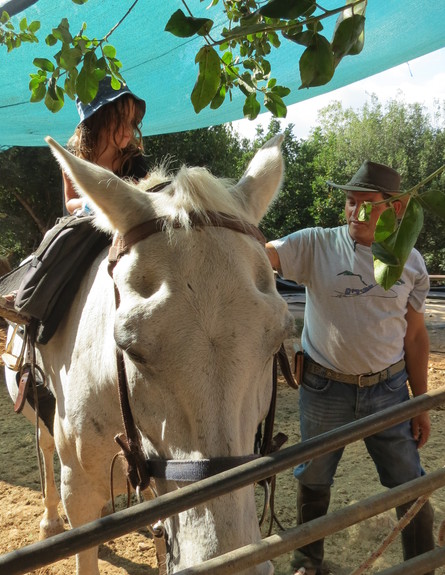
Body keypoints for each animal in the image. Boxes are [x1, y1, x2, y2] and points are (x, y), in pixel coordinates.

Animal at [22, 136, 294, 575]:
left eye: (276, 341)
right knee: (45, 447)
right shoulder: (78, 488)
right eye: (130, 348)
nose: (233, 560)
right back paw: (49, 521)